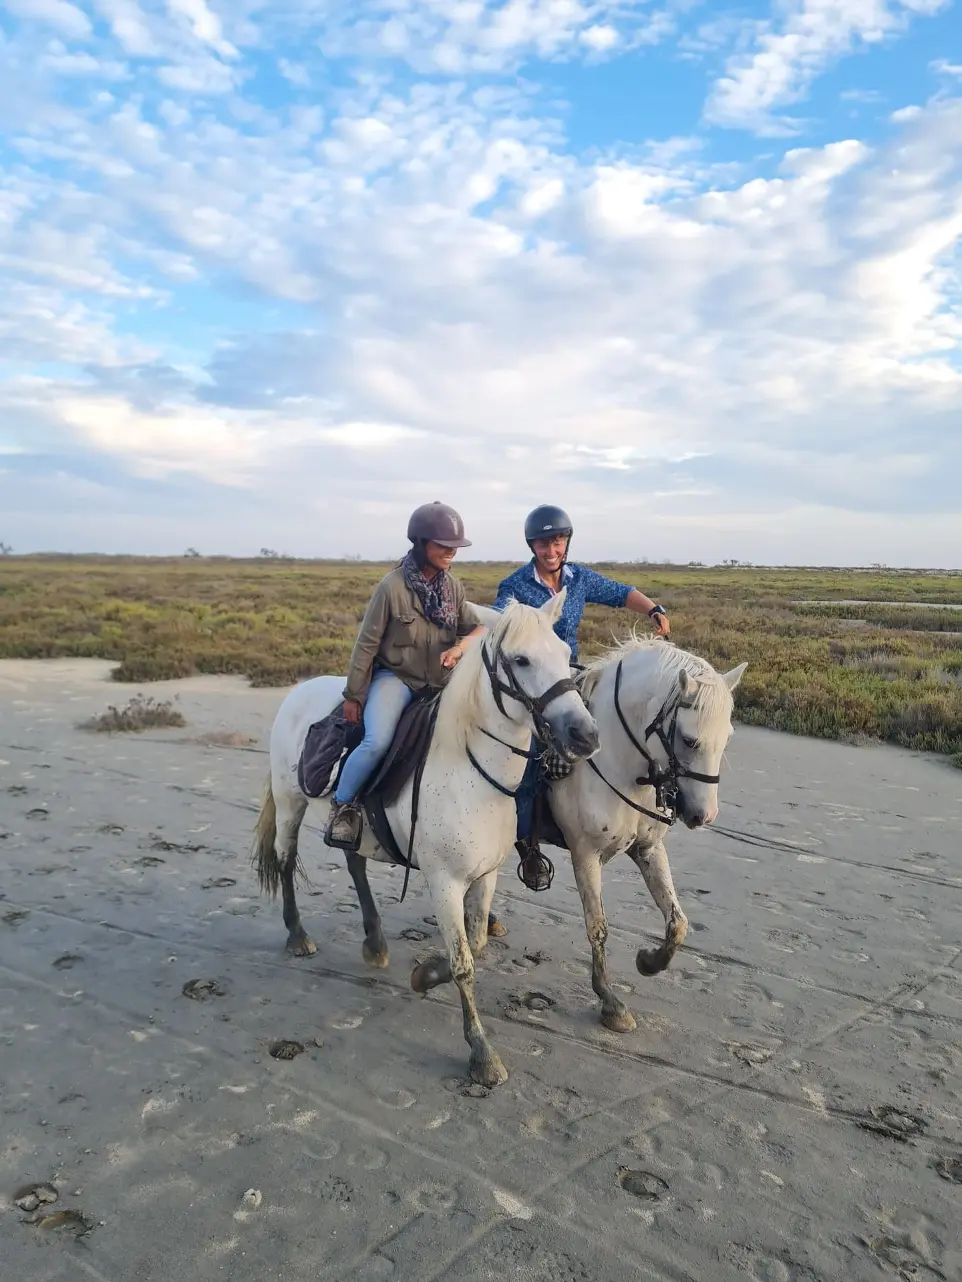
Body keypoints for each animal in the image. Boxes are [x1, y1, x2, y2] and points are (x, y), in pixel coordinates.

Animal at [256, 587, 602, 1082]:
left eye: (562, 653)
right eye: (520, 660)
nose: (585, 734)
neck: (469, 766)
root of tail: (299, 691)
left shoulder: (485, 876)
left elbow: (475, 943)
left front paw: (424, 976)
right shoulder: (444, 883)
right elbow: (463, 964)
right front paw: (481, 1053)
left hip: (354, 828)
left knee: (354, 861)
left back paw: (375, 943)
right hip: (290, 804)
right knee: (286, 861)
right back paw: (297, 936)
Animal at [546, 638, 749, 1030]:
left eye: (728, 737)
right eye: (689, 740)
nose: (704, 815)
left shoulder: (648, 849)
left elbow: (678, 922)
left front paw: (650, 962)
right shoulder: (585, 855)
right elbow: (598, 926)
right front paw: (610, 1001)